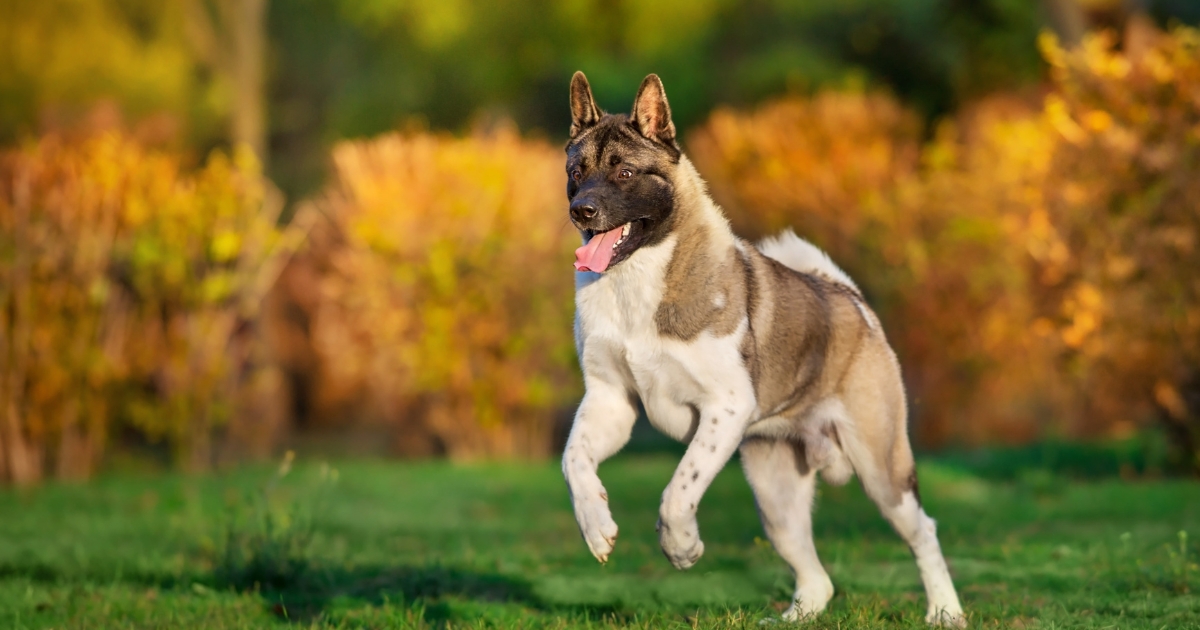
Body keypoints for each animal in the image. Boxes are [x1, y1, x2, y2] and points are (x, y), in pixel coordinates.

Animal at [559, 72, 964, 624]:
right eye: (576, 171)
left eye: (624, 172)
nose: (582, 209)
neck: (637, 281)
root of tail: (851, 300)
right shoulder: (610, 403)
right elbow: (574, 460)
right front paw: (597, 527)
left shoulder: (724, 408)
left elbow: (678, 489)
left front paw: (682, 547)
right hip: (776, 497)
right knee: (816, 576)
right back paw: (798, 616)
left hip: (884, 472)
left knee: (923, 531)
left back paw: (945, 610)